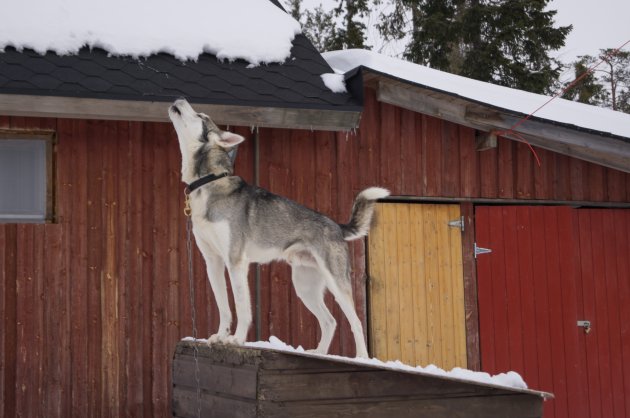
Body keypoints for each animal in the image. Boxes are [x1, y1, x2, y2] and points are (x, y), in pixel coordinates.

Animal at [170, 98, 392, 356]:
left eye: (201, 116)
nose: (179, 99)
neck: (207, 182)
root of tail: (337, 226)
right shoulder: (213, 262)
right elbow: (224, 307)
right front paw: (220, 336)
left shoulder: (235, 261)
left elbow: (242, 307)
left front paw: (236, 340)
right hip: (304, 286)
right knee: (330, 321)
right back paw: (318, 353)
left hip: (337, 283)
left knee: (354, 322)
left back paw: (361, 358)